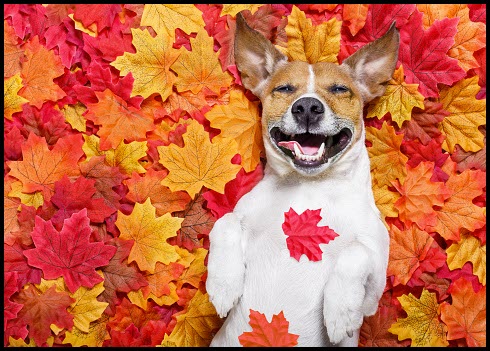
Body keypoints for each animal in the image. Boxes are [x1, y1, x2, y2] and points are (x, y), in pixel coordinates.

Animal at [205, 12, 400, 348]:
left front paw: (340, 313)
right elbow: (225, 220)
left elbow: (356, 253)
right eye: (284, 89)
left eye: (339, 90)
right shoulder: (239, 215)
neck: (311, 187)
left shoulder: (374, 290)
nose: (307, 106)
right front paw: (223, 284)